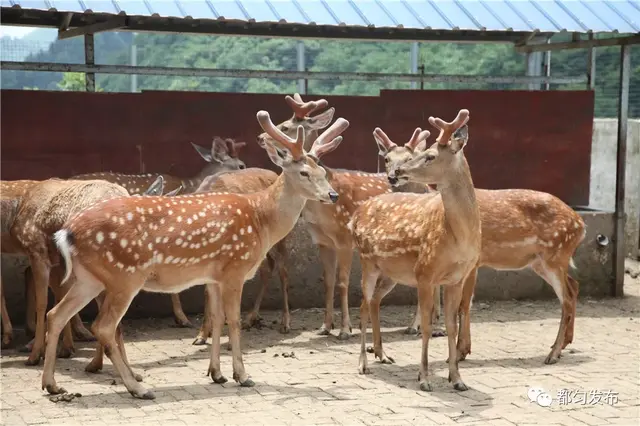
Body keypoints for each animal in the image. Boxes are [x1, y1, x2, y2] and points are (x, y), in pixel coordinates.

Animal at [43, 108, 350, 398]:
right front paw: (242, 375)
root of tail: (66, 233)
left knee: (55, 314)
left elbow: (216, 318)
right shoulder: (235, 269)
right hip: (124, 277)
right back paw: (138, 388)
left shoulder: (213, 275)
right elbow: (233, 321)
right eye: (304, 173)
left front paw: (217, 373)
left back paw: (53, 385)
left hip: (89, 278)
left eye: (323, 172)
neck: (260, 218)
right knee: (103, 326)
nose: (333, 195)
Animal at [350, 110, 480, 392]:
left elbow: (451, 327)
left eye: (429, 155)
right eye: (387, 159)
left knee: (374, 301)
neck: (458, 238)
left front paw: (457, 379)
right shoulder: (425, 273)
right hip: (367, 261)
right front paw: (424, 378)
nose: (397, 172)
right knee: (363, 305)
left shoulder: (455, 278)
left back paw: (382, 354)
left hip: (392, 273)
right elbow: (428, 326)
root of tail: (355, 214)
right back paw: (362, 364)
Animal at [372, 120, 588, 366]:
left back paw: (553, 353)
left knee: (567, 297)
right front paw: (455, 346)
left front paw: (459, 351)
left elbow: (463, 304)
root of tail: (581, 224)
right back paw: (562, 345)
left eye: (424, 156)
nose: (394, 174)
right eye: (387, 158)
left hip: (556, 254)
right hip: (542, 261)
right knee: (574, 286)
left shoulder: (474, 261)